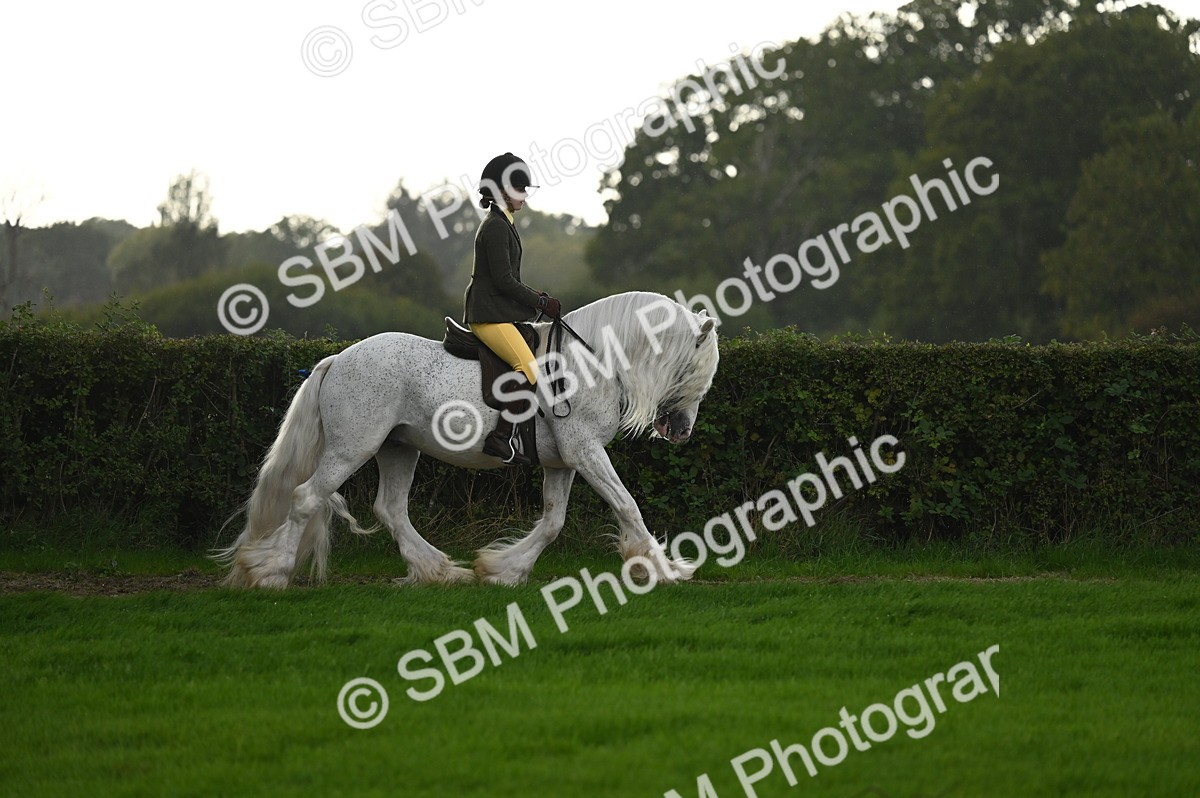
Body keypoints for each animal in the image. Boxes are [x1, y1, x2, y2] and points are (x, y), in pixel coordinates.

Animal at [214, 291, 719, 589]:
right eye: (697, 368)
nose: (681, 431)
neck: (592, 361)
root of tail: (337, 359)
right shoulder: (586, 453)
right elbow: (627, 504)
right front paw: (663, 566)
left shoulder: (564, 461)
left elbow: (553, 521)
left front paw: (503, 570)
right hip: (351, 448)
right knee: (305, 498)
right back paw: (270, 572)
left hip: (399, 448)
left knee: (390, 509)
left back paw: (438, 570)